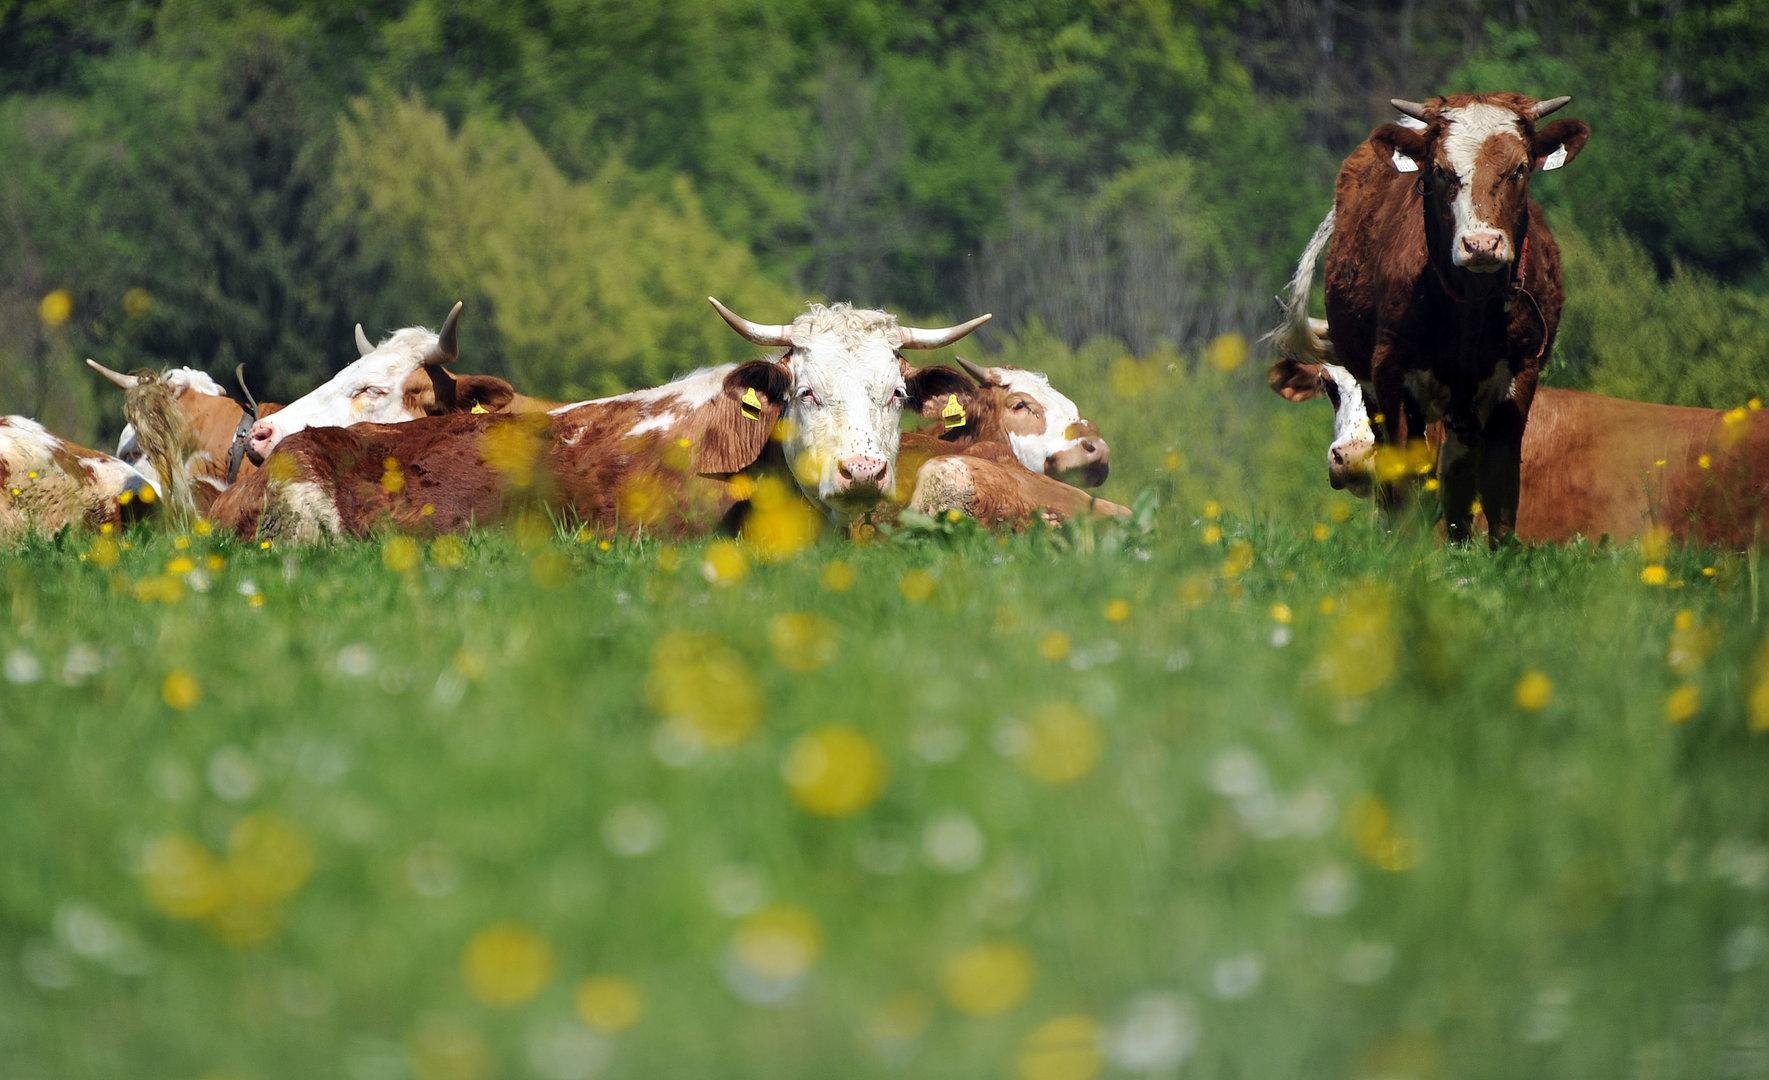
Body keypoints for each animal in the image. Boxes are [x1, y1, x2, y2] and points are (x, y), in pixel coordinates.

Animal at [1273, 92, 1592, 547]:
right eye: (1440, 171)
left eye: (1520, 168)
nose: (1481, 244)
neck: (1470, 311)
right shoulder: (1392, 377)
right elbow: (1407, 478)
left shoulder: (1519, 378)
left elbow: (1497, 486)